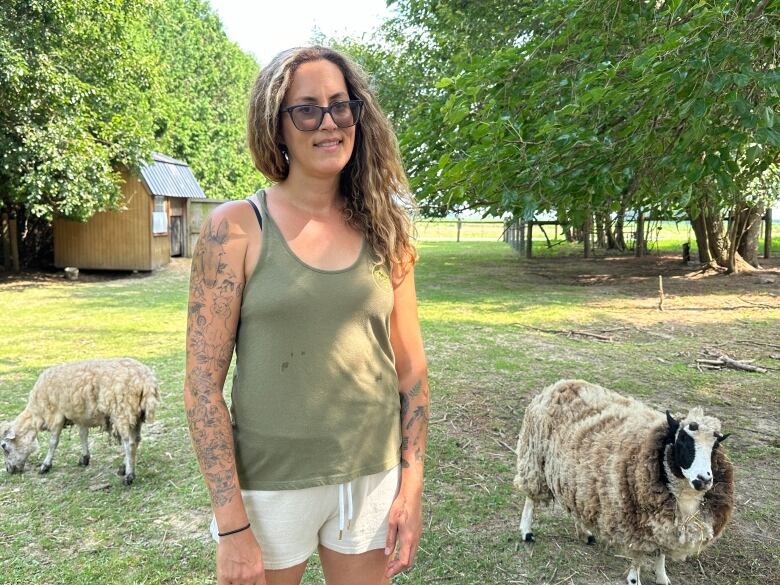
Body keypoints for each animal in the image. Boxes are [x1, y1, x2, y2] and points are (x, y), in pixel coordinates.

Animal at [0, 358, 161, 486]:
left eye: (4, 446)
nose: (9, 470)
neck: (36, 413)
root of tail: (146, 380)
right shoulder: (81, 417)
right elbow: (83, 436)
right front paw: (84, 458)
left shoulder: (56, 416)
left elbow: (53, 442)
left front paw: (45, 466)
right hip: (136, 415)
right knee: (136, 440)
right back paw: (125, 467)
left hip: (122, 412)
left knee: (129, 443)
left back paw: (129, 475)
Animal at [516, 378, 736, 584]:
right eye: (682, 439)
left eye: (715, 446)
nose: (703, 479)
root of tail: (562, 383)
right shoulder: (636, 523)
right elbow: (638, 557)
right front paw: (634, 579)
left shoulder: (664, 524)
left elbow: (661, 552)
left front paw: (662, 577)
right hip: (534, 458)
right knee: (530, 498)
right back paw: (526, 531)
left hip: (576, 478)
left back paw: (584, 532)